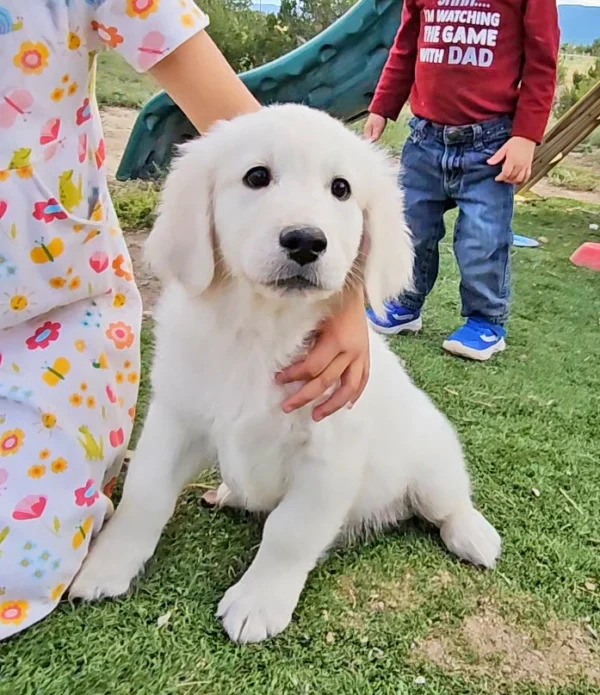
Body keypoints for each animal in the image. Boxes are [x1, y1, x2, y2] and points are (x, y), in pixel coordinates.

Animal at [70, 106, 502, 644]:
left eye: (341, 189)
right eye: (257, 177)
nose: (305, 241)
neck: (262, 330)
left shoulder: (329, 455)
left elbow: (288, 533)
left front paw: (258, 601)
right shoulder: (176, 419)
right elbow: (145, 495)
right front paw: (107, 565)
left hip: (433, 465)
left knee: (449, 504)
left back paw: (475, 536)